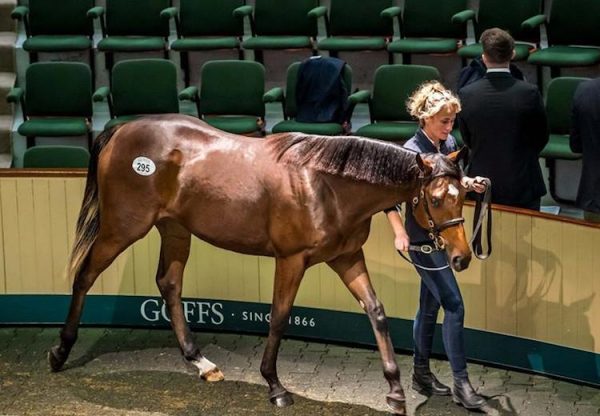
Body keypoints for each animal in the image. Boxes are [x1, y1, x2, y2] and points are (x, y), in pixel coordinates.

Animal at [49, 113, 472, 412]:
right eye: (436, 199)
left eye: (463, 193)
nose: (461, 257)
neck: (326, 186)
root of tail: (120, 130)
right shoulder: (291, 260)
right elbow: (279, 316)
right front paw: (275, 385)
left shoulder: (347, 258)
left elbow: (377, 312)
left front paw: (396, 390)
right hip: (123, 228)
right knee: (84, 275)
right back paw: (60, 352)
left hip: (174, 230)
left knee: (169, 284)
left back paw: (200, 362)